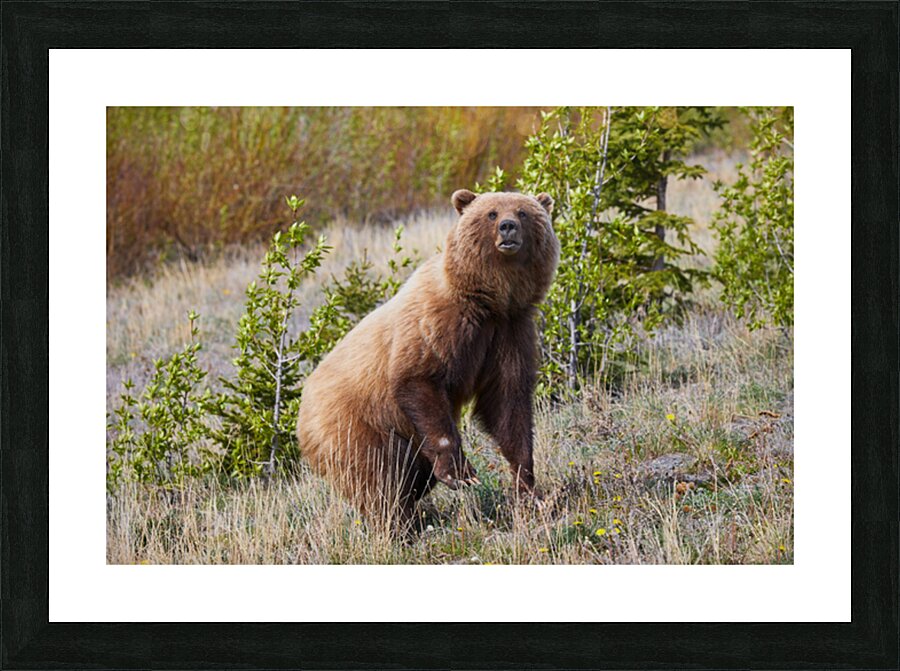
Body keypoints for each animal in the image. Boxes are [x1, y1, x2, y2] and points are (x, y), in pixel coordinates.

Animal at [296, 189, 559, 527]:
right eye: (491, 213)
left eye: (523, 212)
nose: (508, 227)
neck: (489, 300)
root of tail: (302, 408)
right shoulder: (439, 322)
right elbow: (418, 378)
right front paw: (461, 473)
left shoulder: (509, 331)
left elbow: (508, 401)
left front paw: (528, 487)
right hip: (354, 424)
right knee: (377, 477)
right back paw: (400, 523)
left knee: (414, 475)